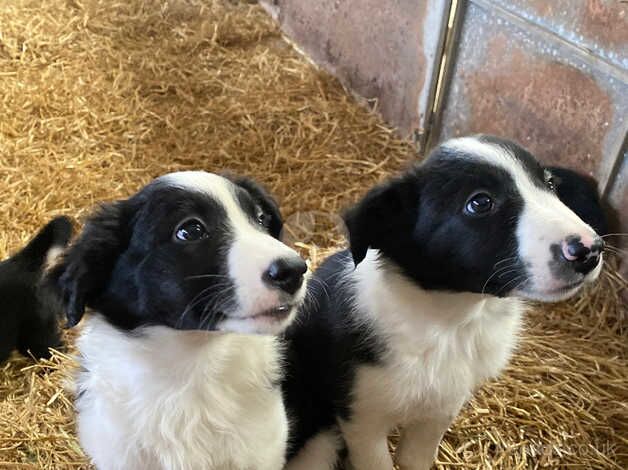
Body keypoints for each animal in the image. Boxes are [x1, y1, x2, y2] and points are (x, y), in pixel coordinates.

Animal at [284, 135, 604, 470]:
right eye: (480, 203)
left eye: (550, 184)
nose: (591, 250)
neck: (452, 320)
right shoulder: (362, 416)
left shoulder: (442, 406)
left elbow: (415, 459)